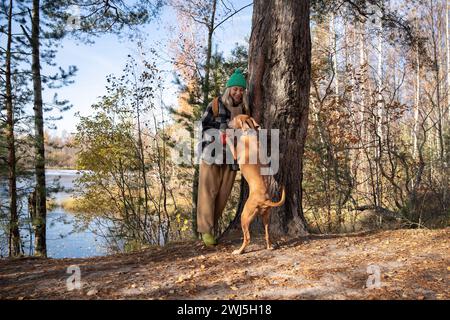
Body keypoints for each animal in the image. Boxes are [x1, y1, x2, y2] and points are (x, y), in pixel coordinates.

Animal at [227, 114, 286, 254]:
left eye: (234, 118)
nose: (227, 122)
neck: (250, 132)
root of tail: (264, 200)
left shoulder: (236, 154)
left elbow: (230, 143)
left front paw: (226, 134)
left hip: (244, 216)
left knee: (247, 238)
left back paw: (239, 251)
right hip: (266, 217)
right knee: (267, 234)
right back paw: (269, 246)